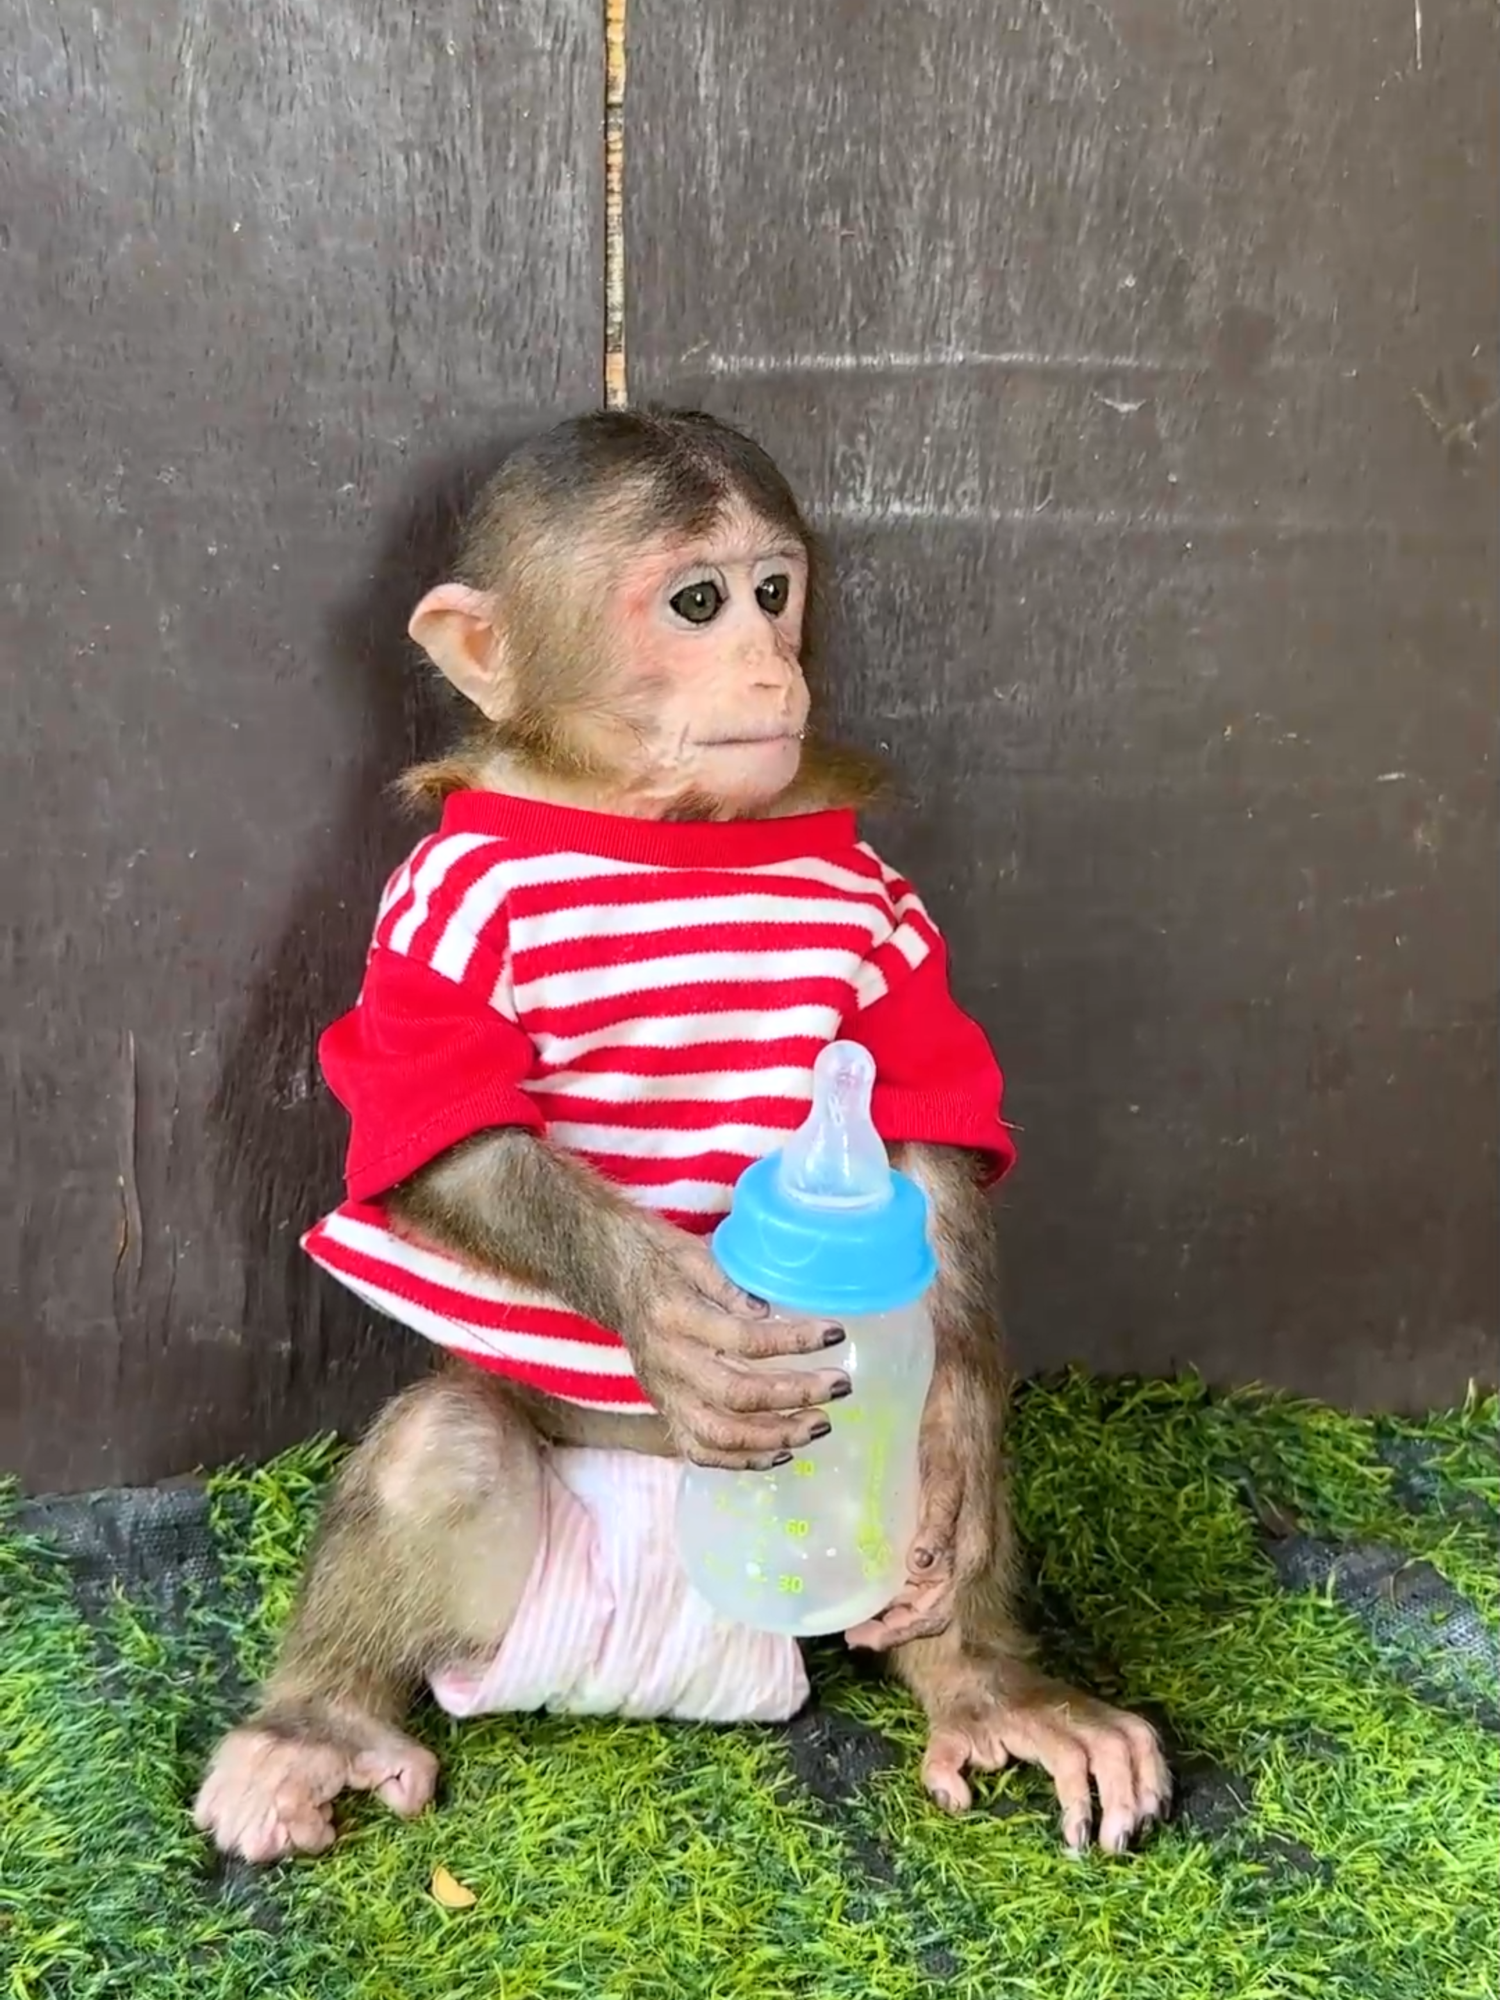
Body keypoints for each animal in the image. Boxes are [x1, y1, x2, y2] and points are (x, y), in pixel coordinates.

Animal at [193, 407, 1171, 1866]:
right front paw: (668, 1314)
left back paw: (988, 1680)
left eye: (774, 591)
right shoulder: (431, 902)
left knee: (934, 1462)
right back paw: (318, 1724)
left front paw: (949, 1425)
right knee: (446, 1451)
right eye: (697, 603)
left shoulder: (885, 896)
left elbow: (917, 1107)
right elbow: (443, 1127)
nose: (770, 663)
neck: (653, 826)